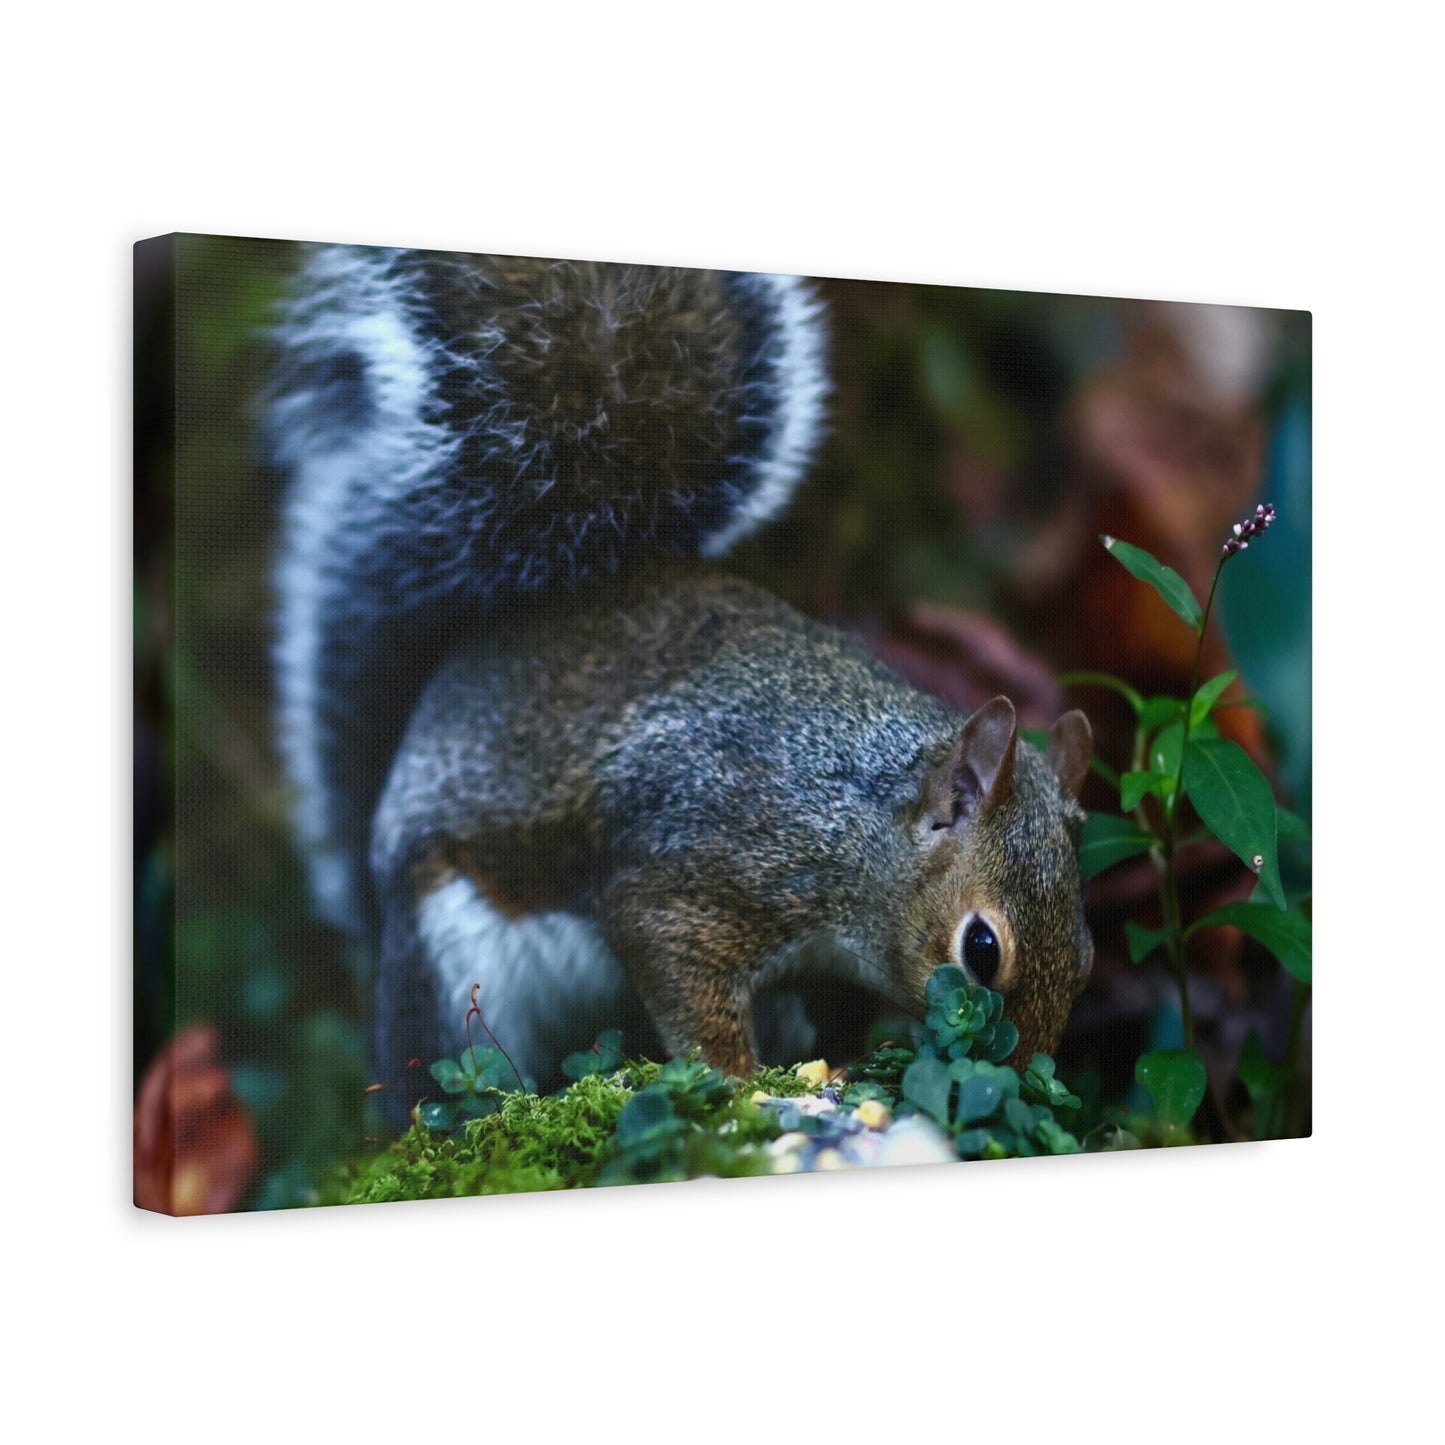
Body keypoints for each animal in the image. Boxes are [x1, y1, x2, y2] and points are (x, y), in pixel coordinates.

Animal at [269, 245, 1095, 1111]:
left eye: (1087, 953)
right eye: (981, 948)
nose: (1023, 1078)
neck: (856, 819)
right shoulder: (703, 863)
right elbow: (672, 962)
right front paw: (737, 1082)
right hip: (451, 964)